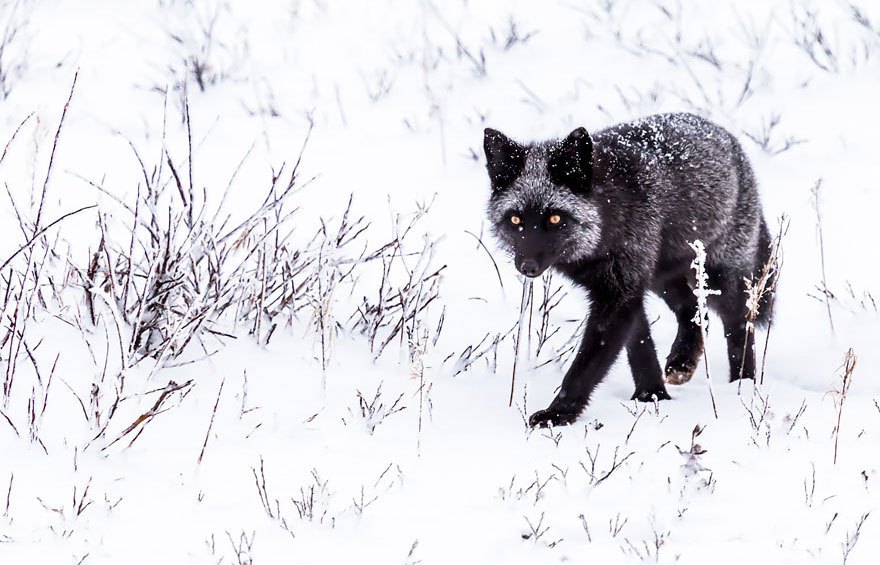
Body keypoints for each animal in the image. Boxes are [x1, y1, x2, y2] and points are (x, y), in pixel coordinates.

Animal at [483, 112, 774, 428]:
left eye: (555, 218)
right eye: (515, 219)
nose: (528, 267)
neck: (606, 219)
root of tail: (729, 138)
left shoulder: (618, 295)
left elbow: (585, 367)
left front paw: (558, 414)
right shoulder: (626, 288)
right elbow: (640, 345)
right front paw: (651, 396)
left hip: (718, 276)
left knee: (740, 322)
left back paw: (742, 384)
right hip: (661, 277)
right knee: (696, 311)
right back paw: (683, 361)